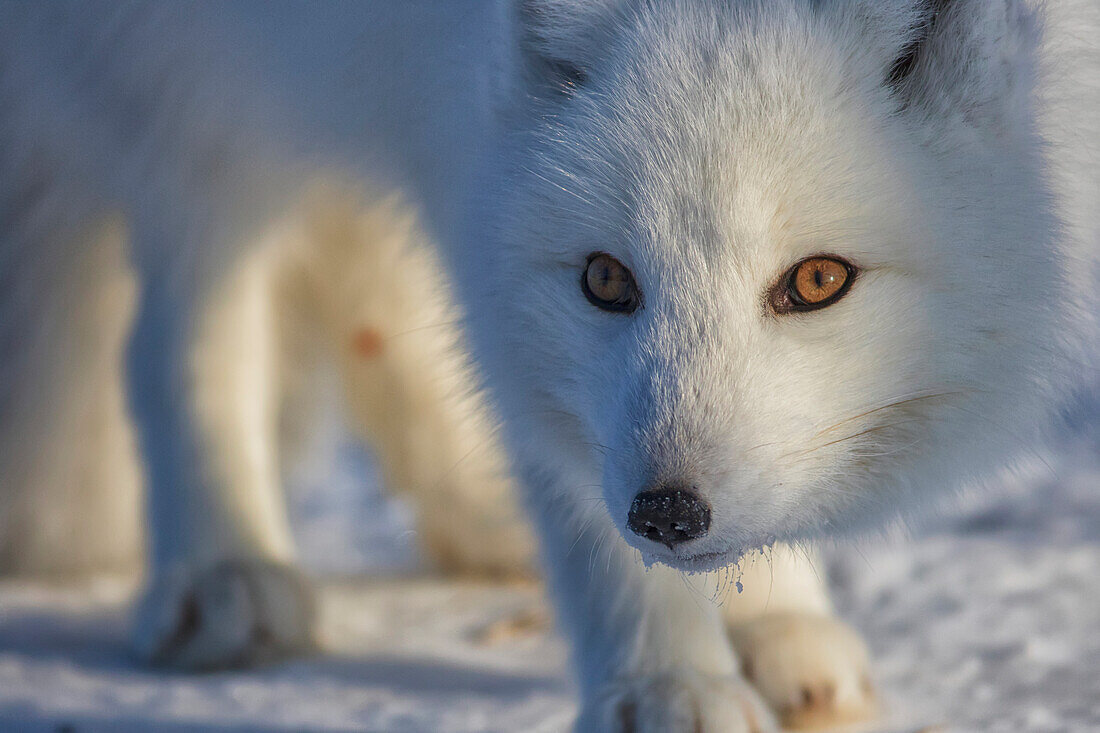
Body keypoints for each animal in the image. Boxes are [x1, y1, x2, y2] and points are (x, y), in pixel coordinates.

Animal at [0, 1, 1095, 730]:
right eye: (605, 279)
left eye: (817, 280)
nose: (664, 515)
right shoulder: (446, 110)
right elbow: (557, 453)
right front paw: (665, 680)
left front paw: (774, 612)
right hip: (192, 91)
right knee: (185, 309)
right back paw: (224, 569)